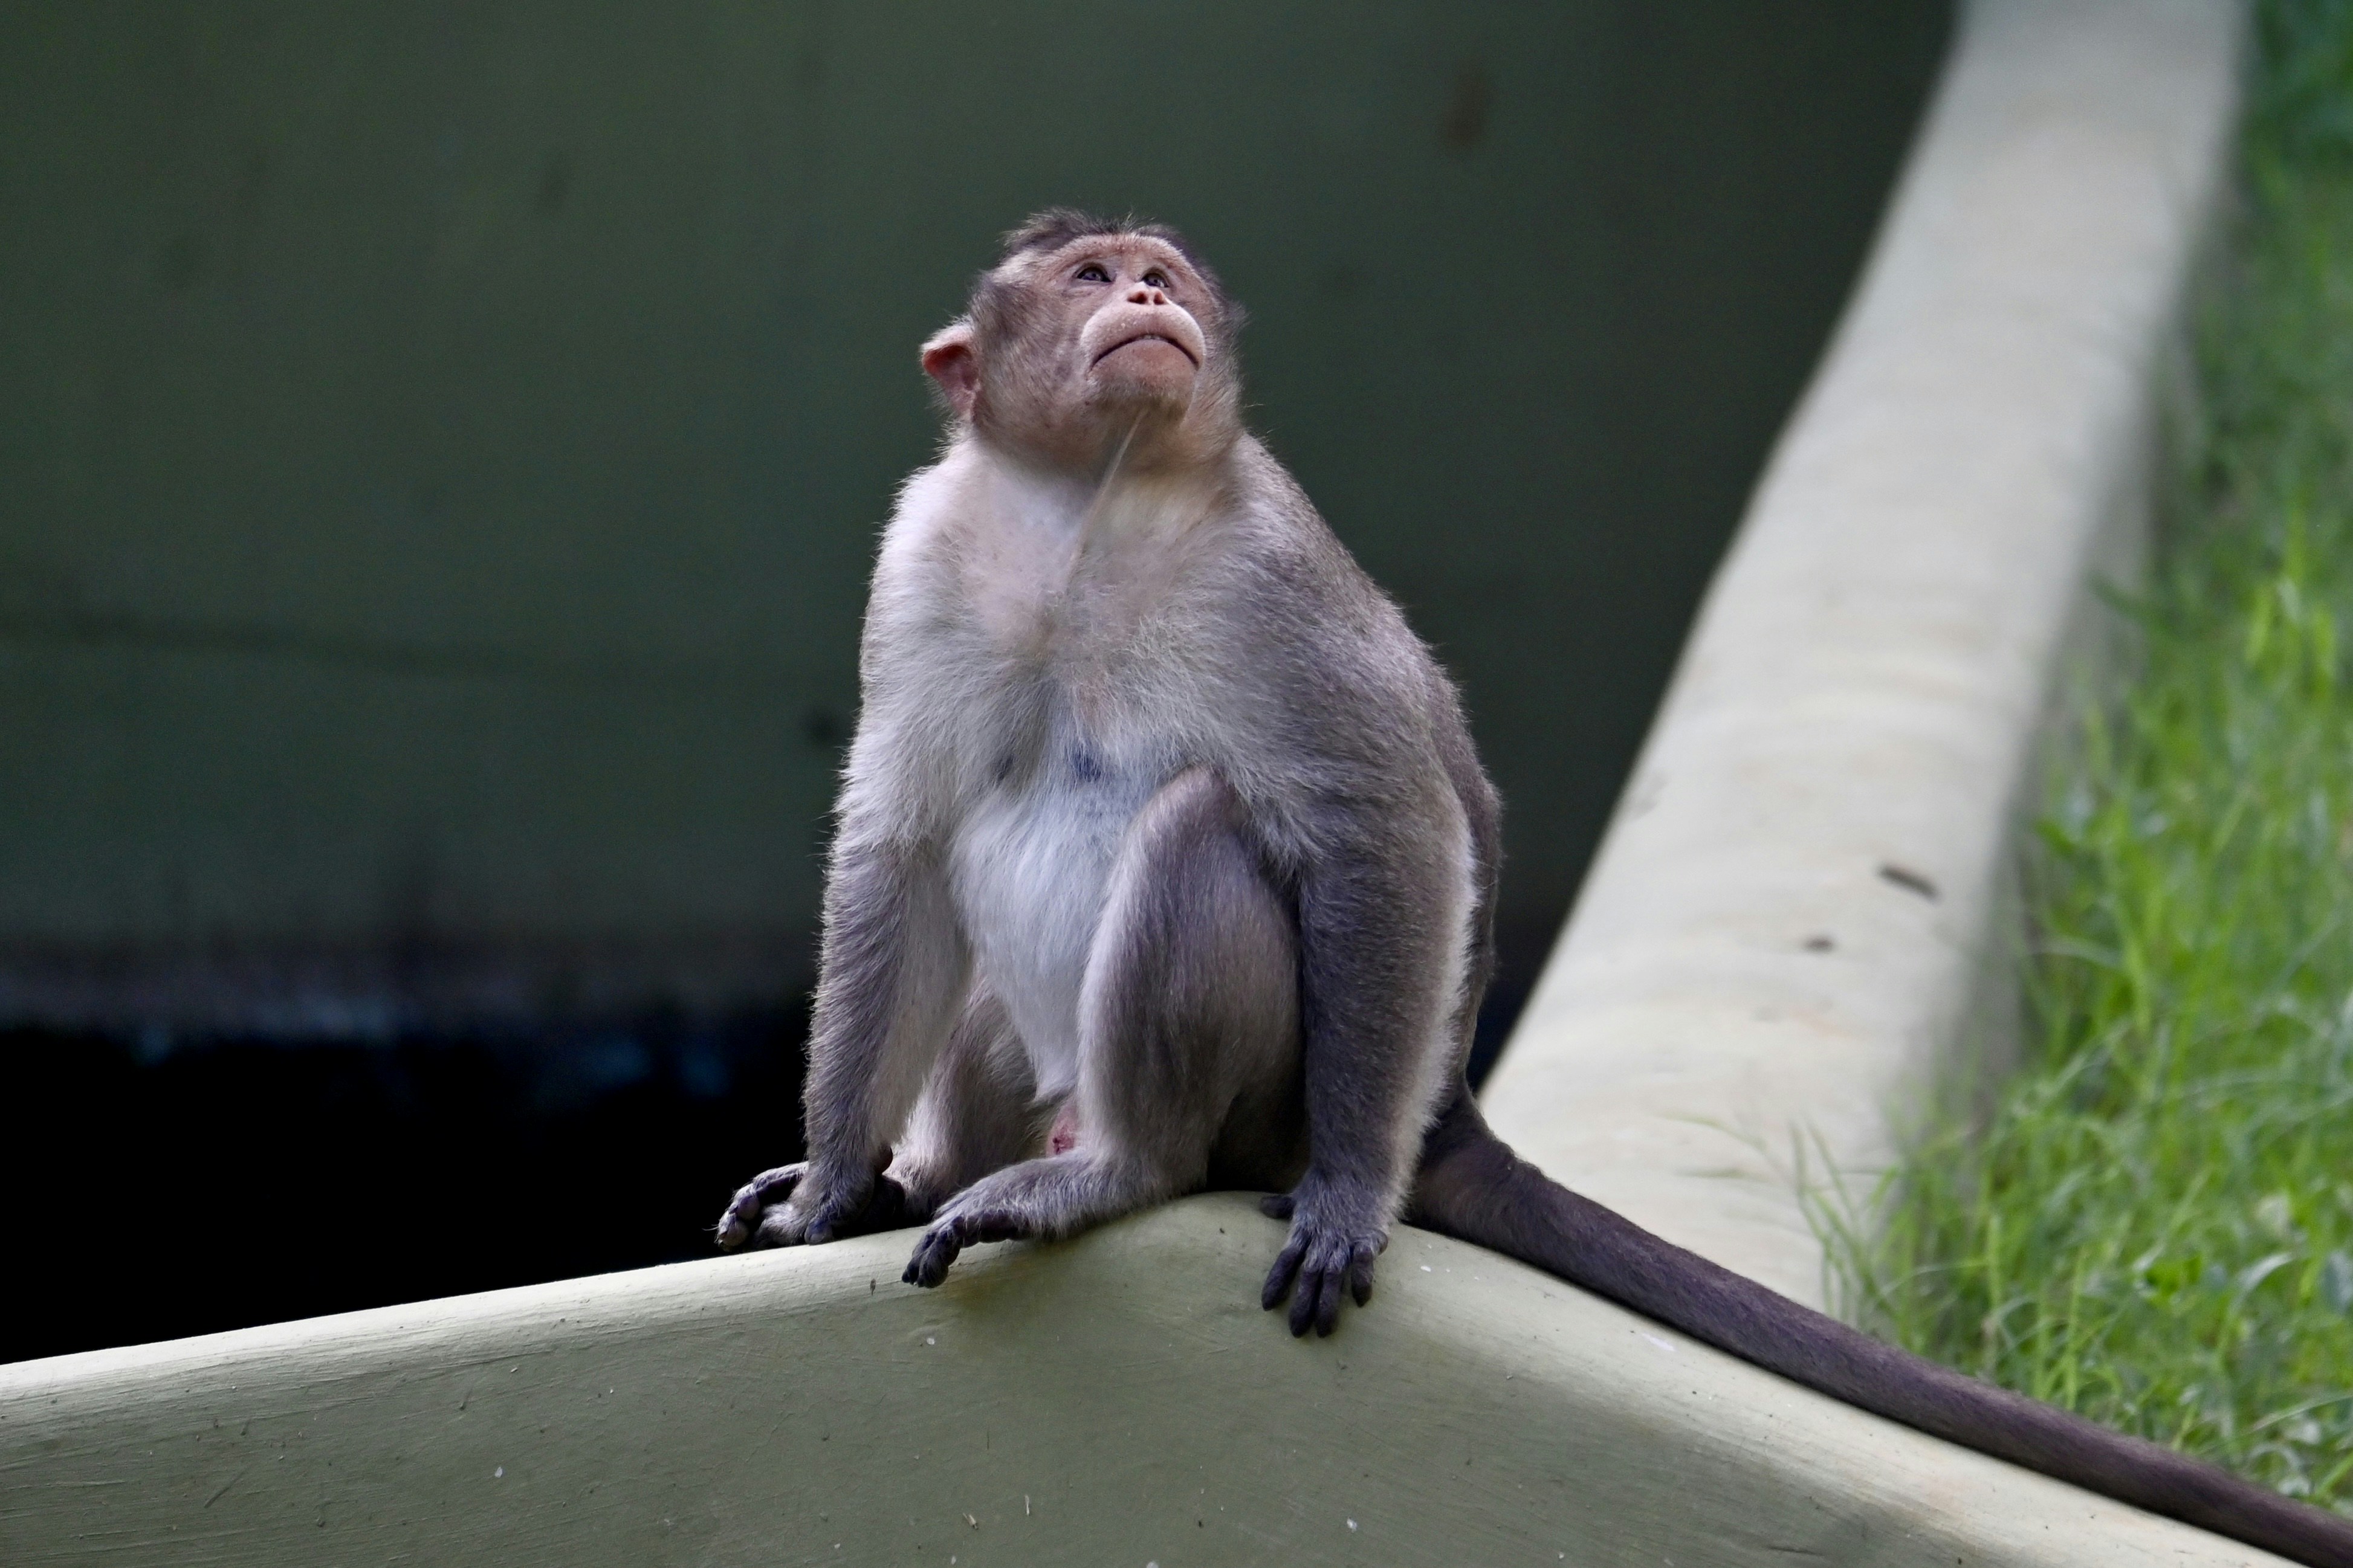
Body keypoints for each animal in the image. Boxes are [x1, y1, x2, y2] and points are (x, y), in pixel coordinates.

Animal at [715, 210, 2353, 1568]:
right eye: (1085, 275)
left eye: (1159, 270)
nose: (1147, 299)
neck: (1088, 513)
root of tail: (1451, 1110)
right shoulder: (925, 557)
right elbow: (899, 842)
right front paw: (838, 1180)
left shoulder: (1266, 566)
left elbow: (1396, 823)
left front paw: (1347, 1197)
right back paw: (936, 1170)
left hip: (1279, 1089)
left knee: (1198, 828)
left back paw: (1125, 1168)